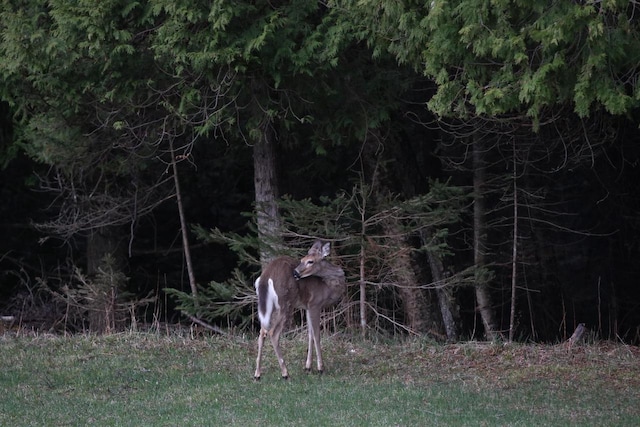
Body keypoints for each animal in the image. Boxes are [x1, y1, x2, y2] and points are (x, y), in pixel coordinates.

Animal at [254, 241, 344, 382]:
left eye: (310, 261)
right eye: (302, 260)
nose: (295, 273)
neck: (327, 287)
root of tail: (266, 276)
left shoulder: (306, 307)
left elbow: (310, 334)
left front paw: (308, 367)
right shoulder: (315, 304)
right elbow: (317, 335)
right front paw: (320, 368)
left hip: (268, 306)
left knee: (262, 332)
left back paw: (257, 374)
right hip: (285, 303)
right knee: (273, 333)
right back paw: (285, 373)